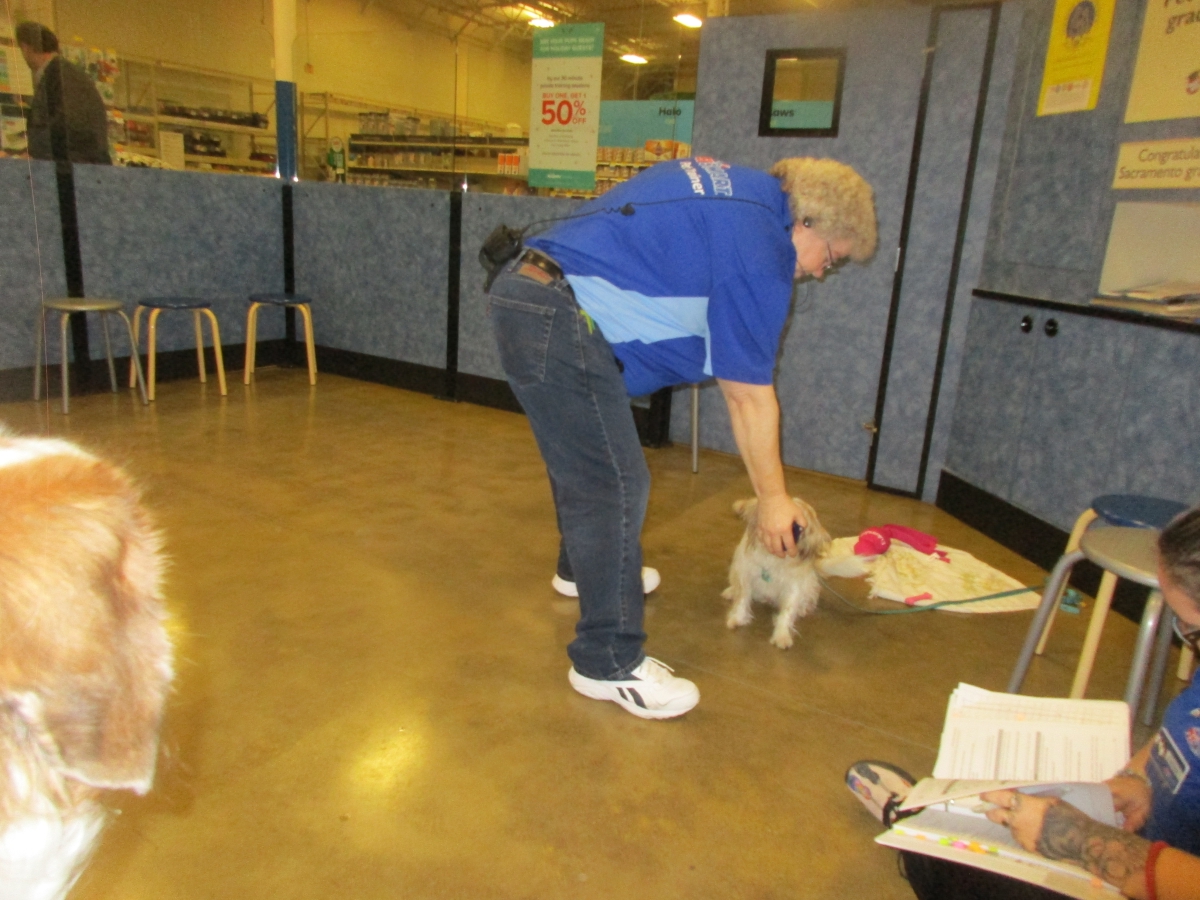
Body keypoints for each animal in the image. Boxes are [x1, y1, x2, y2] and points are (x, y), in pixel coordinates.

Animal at [722, 497, 831, 649]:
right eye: (775, 523)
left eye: (799, 528)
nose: (784, 539)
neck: (773, 558)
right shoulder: (745, 574)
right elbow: (742, 599)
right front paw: (737, 618)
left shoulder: (793, 587)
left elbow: (787, 611)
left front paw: (782, 635)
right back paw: (731, 592)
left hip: (811, 583)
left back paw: (803, 608)